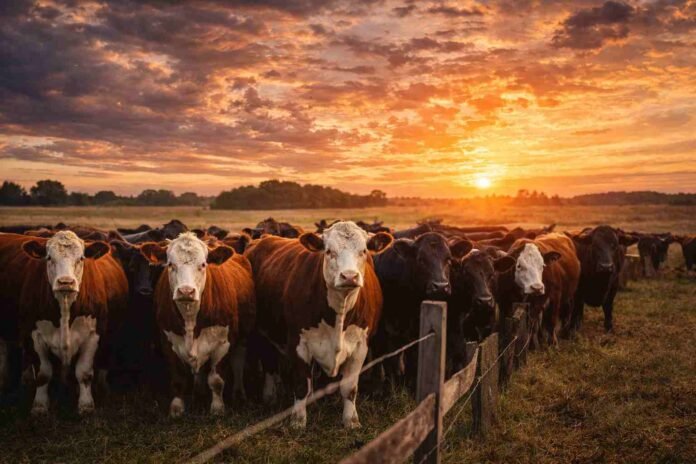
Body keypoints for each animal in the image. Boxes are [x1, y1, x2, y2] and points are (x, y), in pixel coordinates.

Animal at [0, 231, 127, 414]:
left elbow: (84, 373)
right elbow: (43, 374)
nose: (65, 282)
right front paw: (40, 406)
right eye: (49, 257)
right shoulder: (32, 334)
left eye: (81, 258)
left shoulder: (93, 336)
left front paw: (86, 405)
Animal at [141, 232, 255, 417]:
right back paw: (198, 393)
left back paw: (239, 394)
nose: (186, 291)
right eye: (170, 264)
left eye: (203, 264)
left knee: (238, 361)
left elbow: (216, 380)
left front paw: (217, 408)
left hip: (243, 337)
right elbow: (178, 379)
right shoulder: (167, 341)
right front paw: (176, 409)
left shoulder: (224, 343)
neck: (190, 319)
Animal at [245, 221, 392, 428]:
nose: (349, 276)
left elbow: (350, 387)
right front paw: (298, 421)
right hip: (261, 334)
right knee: (269, 362)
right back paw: (269, 396)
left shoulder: (360, 345)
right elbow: (300, 385)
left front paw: (351, 421)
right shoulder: (298, 343)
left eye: (363, 250)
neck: (339, 313)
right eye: (329, 251)